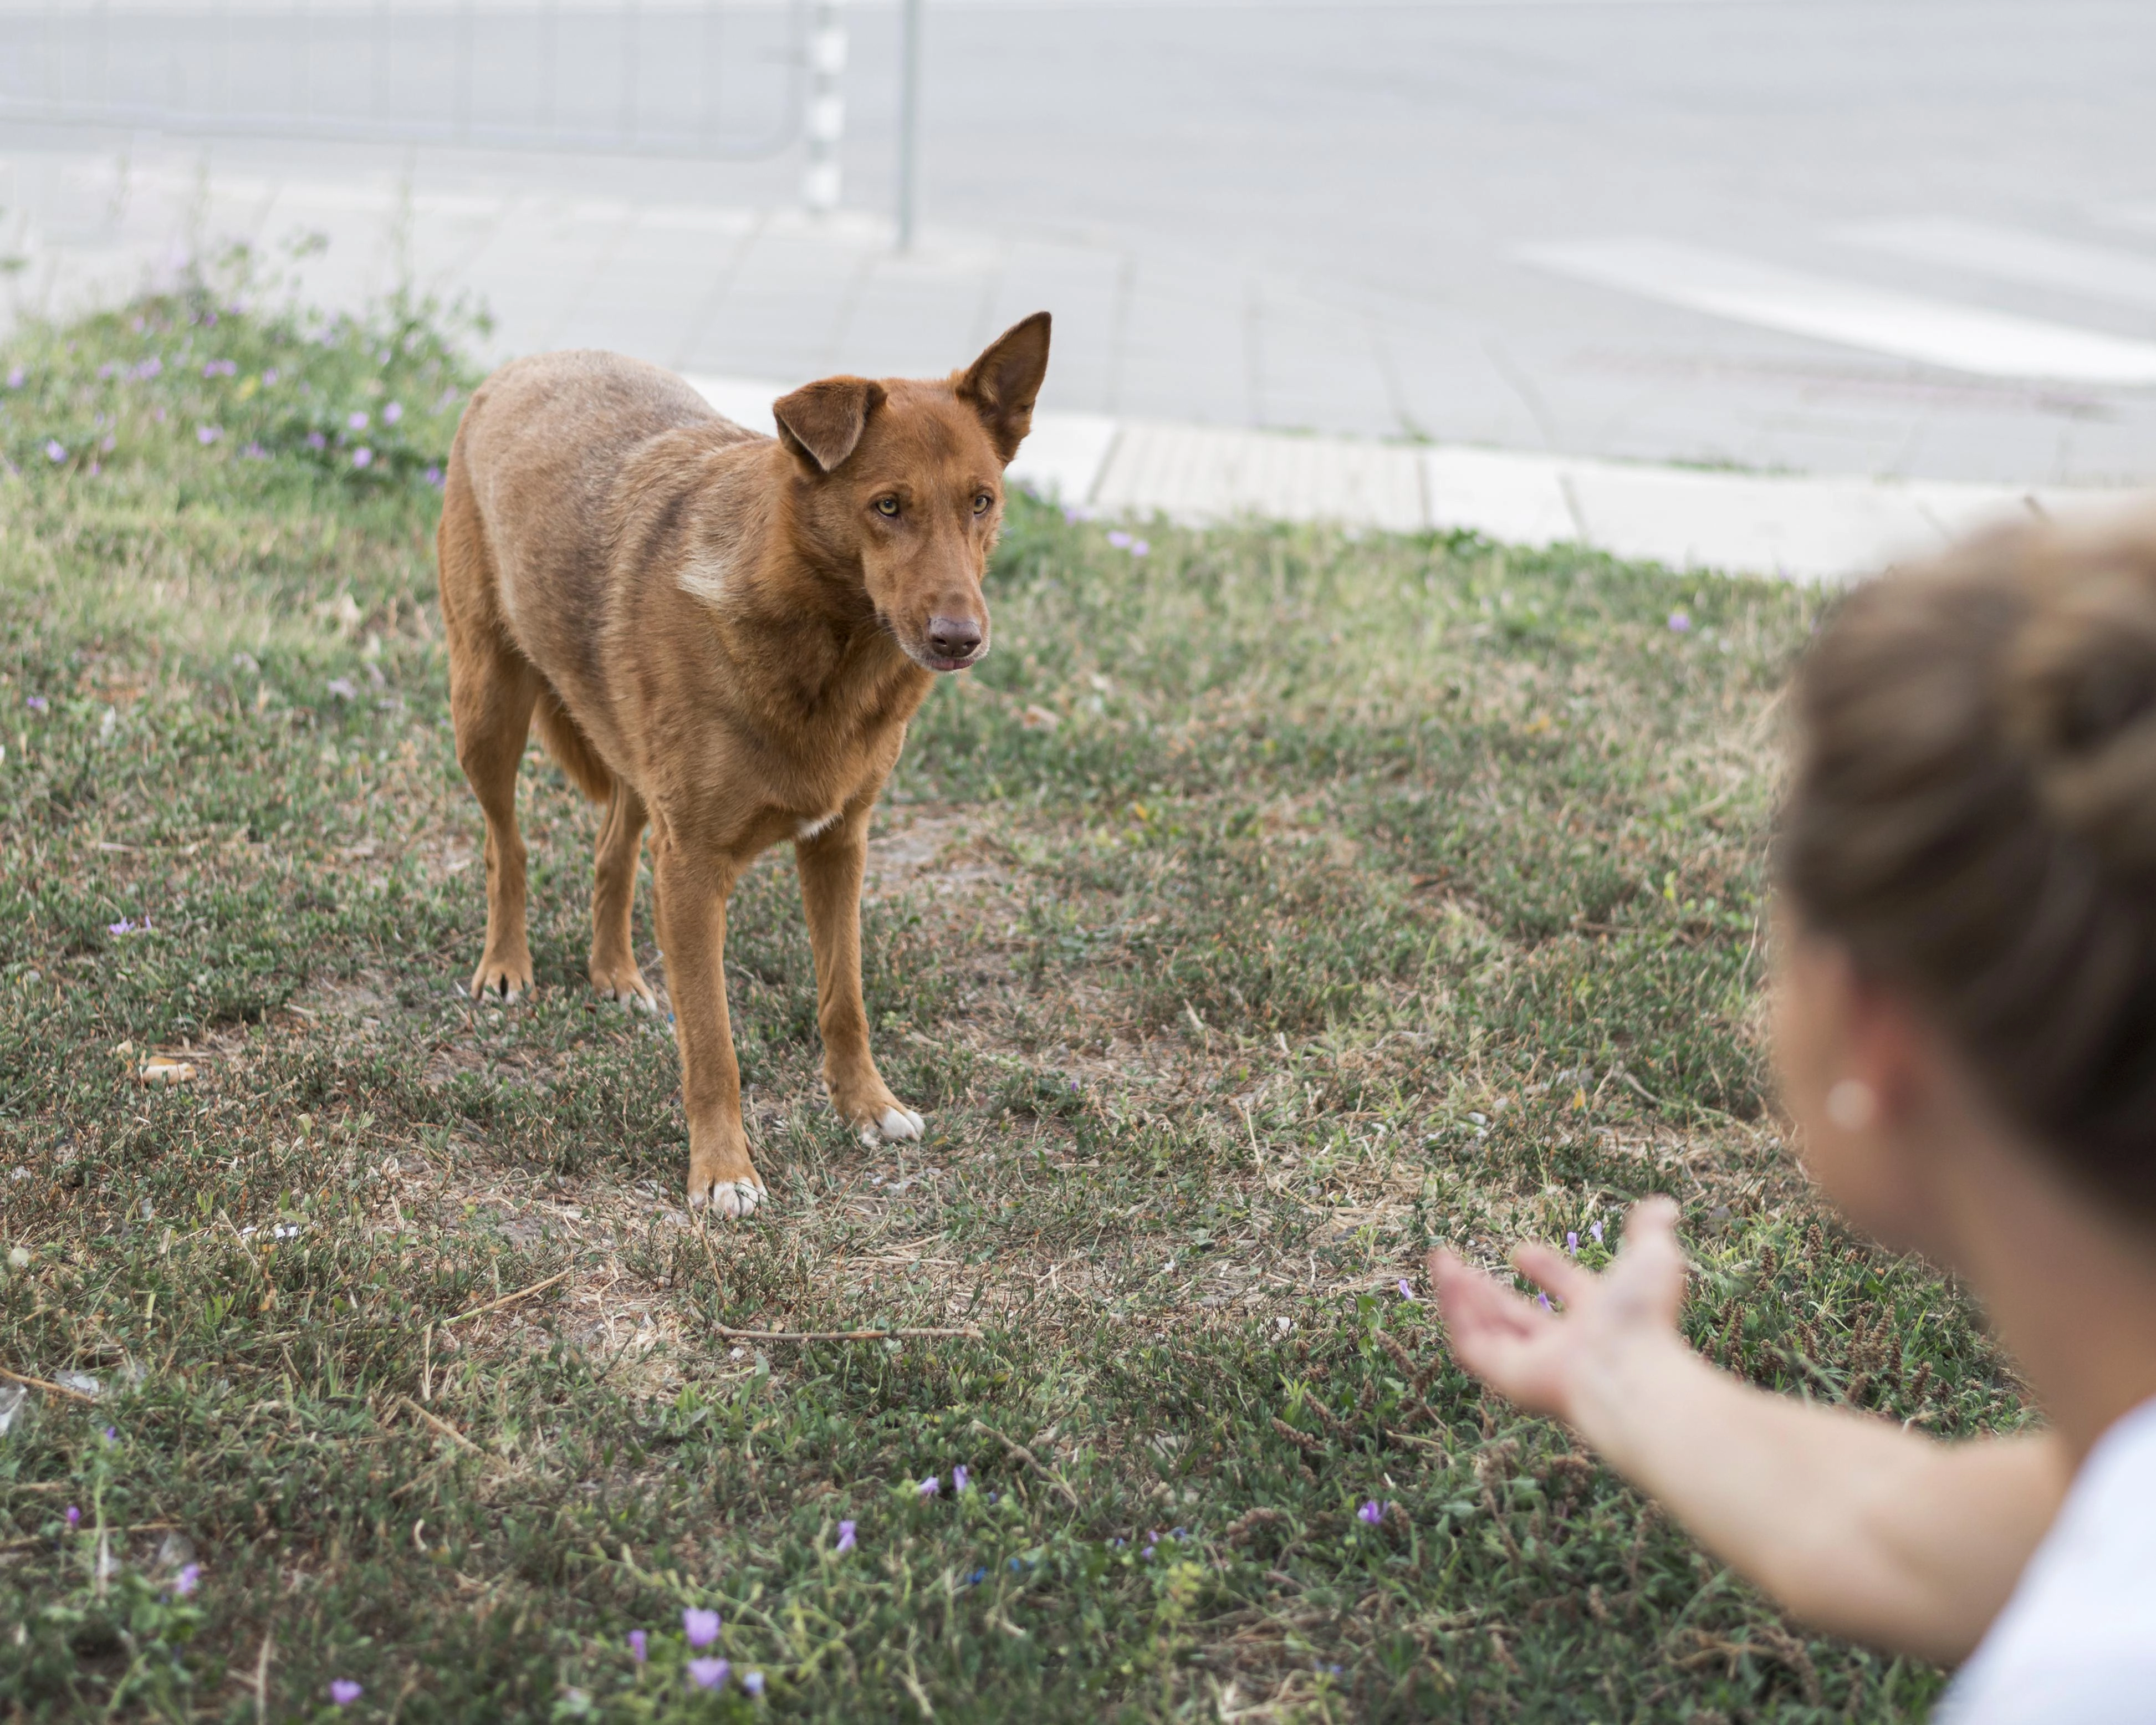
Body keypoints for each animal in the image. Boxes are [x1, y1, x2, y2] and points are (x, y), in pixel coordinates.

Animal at [433, 317, 1048, 1216]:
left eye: (981, 501)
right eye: (887, 506)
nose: (960, 640)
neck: (826, 647)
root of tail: (528, 362)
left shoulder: (838, 846)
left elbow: (844, 1000)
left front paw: (866, 1108)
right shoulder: (692, 872)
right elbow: (712, 1043)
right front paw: (723, 1172)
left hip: (627, 759)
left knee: (614, 844)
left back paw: (614, 971)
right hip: (485, 706)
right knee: (504, 842)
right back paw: (507, 965)